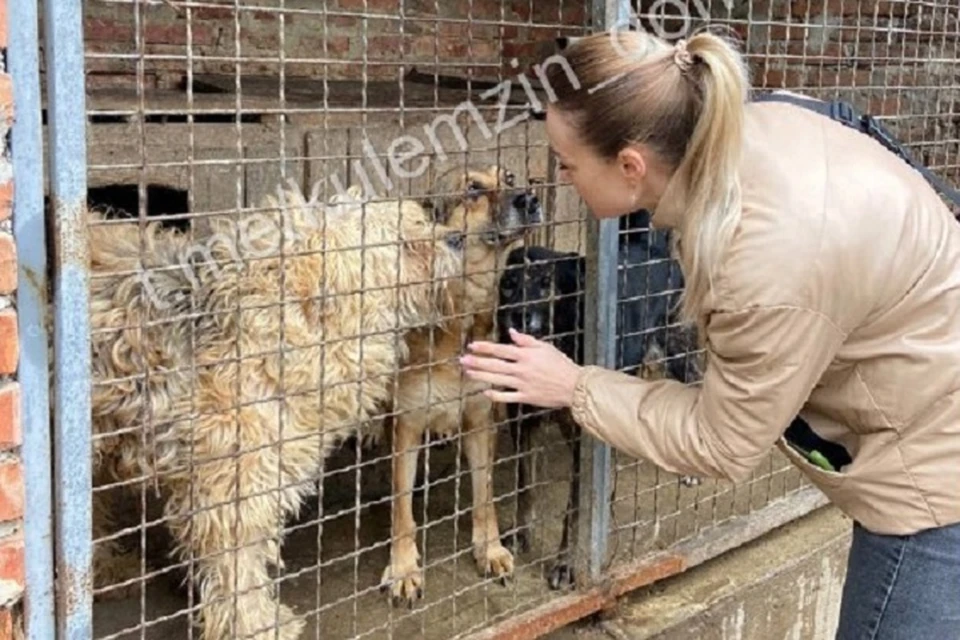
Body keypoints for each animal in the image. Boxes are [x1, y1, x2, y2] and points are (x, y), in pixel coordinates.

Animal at [378, 164, 544, 604]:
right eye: (472, 189)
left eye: (509, 177)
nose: (531, 198)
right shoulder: (406, 426)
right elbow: (402, 509)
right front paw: (404, 568)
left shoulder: (481, 420)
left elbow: (484, 495)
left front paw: (490, 549)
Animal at [498, 209, 700, 592]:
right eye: (509, 285)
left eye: (546, 283)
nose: (516, 315)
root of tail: (650, 247)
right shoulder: (522, 422)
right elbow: (524, 484)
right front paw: (520, 531)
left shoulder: (583, 441)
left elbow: (575, 509)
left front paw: (566, 564)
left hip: (679, 348)